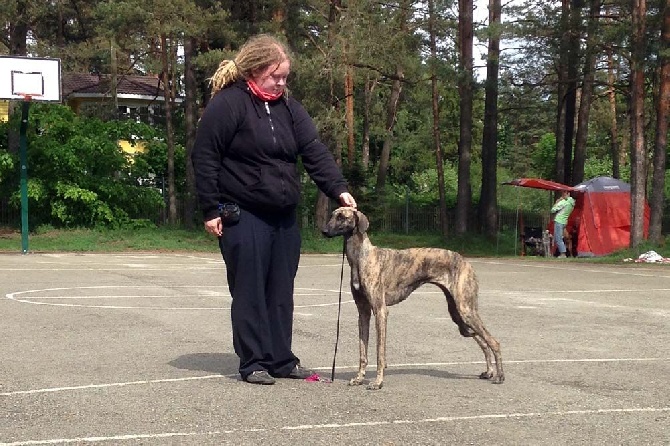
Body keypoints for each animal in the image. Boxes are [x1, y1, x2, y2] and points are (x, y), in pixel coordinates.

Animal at [322, 207, 506, 388]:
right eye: (332, 215)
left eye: (342, 217)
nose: (323, 231)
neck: (361, 257)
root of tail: (466, 261)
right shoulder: (363, 312)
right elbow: (363, 351)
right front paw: (359, 378)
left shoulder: (380, 310)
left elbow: (380, 352)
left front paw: (378, 382)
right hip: (458, 315)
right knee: (483, 341)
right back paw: (489, 372)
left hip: (465, 310)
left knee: (494, 342)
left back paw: (500, 376)